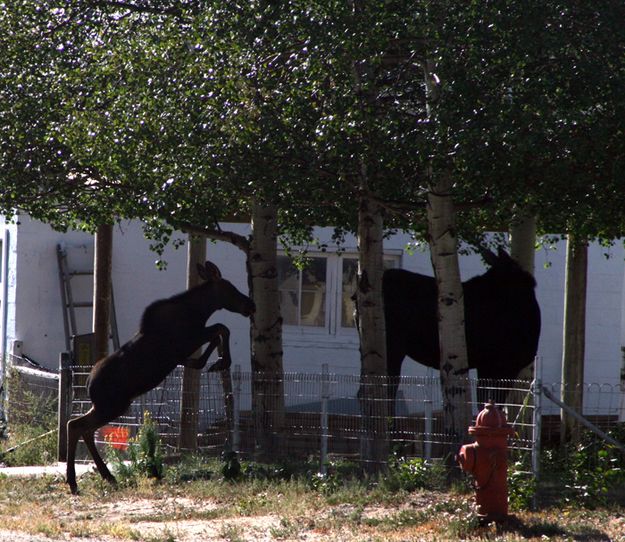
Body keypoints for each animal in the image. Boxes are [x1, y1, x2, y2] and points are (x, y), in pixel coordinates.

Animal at [66, 264, 254, 498]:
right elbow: (221, 328)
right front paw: (220, 361)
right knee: (77, 426)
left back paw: (105, 477)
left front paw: (212, 361)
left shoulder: (188, 346)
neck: (199, 312)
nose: (251, 305)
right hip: (112, 406)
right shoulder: (187, 341)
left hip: (106, 406)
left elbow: (216, 334)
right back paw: (75, 481)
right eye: (230, 288)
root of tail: (88, 383)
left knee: (81, 428)